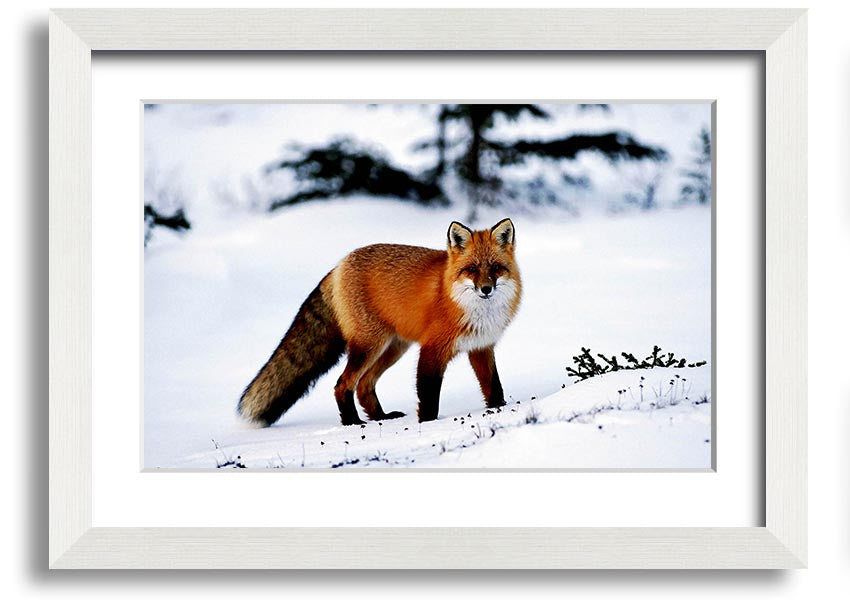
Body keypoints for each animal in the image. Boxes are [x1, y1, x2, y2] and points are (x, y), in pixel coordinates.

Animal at [238, 218, 521, 426]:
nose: (486, 289)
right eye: (471, 269)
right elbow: (428, 395)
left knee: (364, 385)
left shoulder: (481, 347)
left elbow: (494, 387)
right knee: (343, 384)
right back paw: (352, 422)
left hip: (393, 348)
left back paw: (380, 417)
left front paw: (499, 409)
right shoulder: (432, 349)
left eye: (495, 268)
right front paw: (428, 424)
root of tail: (339, 265)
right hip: (369, 345)